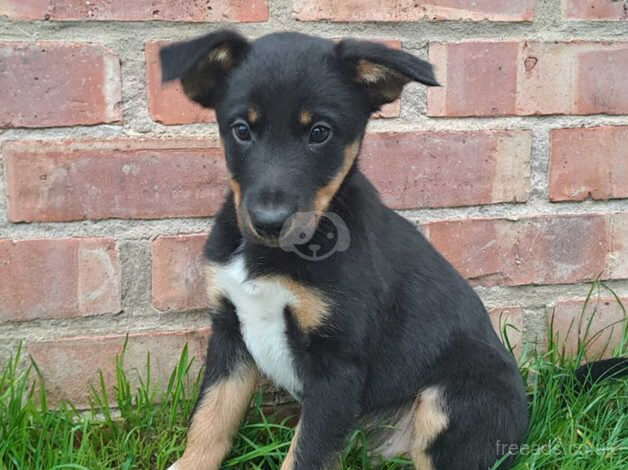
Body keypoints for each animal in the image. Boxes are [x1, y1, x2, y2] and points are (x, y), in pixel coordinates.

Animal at [161, 30, 528, 470]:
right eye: (241, 130)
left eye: (319, 132)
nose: (269, 222)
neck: (274, 257)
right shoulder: (229, 332)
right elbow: (210, 419)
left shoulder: (337, 366)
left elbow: (305, 453)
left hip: (451, 400)